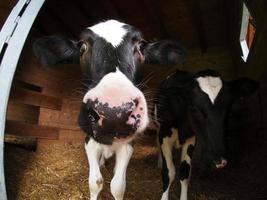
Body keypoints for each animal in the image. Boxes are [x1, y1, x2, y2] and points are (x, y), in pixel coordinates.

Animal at [33, 19, 187, 200]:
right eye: (82, 46)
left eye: (141, 45)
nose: (114, 110)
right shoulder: (89, 140)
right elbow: (95, 182)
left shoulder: (128, 144)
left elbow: (118, 186)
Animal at [155, 69, 260, 200]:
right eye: (194, 108)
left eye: (228, 109)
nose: (219, 161)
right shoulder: (164, 136)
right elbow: (168, 173)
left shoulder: (192, 139)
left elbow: (185, 173)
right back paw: (159, 162)